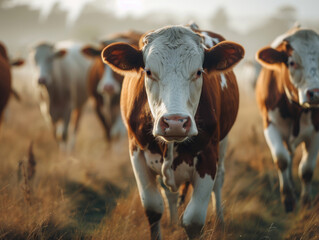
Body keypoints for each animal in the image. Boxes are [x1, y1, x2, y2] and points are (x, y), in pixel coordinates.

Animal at [102, 25, 245, 239]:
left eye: (199, 72)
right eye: (148, 72)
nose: (175, 122)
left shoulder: (209, 155)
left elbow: (193, 220)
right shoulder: (136, 153)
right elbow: (153, 208)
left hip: (223, 141)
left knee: (219, 179)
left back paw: (220, 221)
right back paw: (172, 222)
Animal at [256, 26, 319, 212]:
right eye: (292, 62)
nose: (315, 93)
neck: (295, 109)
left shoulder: (316, 131)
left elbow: (307, 169)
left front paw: (306, 202)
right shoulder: (270, 126)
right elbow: (282, 159)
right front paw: (288, 198)